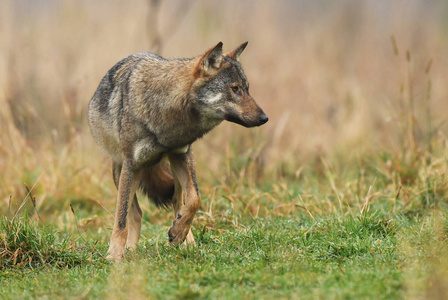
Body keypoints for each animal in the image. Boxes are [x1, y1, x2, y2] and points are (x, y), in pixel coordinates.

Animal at [89, 41, 268, 262]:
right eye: (235, 89)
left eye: (247, 89)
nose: (264, 118)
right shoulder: (131, 164)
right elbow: (121, 217)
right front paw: (114, 255)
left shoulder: (181, 153)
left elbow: (195, 199)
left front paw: (179, 233)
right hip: (119, 169)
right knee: (136, 213)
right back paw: (131, 250)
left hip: (176, 164)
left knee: (177, 201)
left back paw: (185, 240)